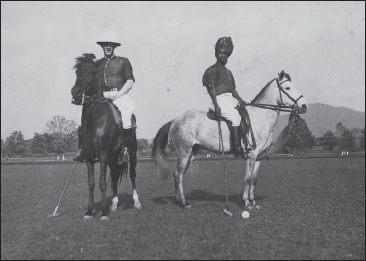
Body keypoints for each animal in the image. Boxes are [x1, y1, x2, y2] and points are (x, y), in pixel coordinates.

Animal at [71, 52, 141, 219]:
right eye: (77, 72)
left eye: (91, 72)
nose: (75, 93)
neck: (95, 119)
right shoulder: (89, 157)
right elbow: (91, 183)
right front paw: (89, 211)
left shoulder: (102, 155)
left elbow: (102, 183)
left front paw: (103, 212)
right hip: (112, 158)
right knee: (115, 176)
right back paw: (114, 204)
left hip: (132, 154)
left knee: (133, 175)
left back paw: (136, 202)